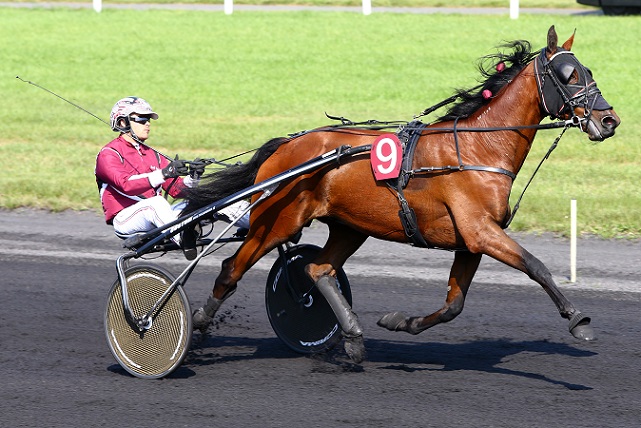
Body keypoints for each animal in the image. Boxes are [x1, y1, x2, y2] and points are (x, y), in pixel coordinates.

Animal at [185, 25, 620, 362]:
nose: (609, 120)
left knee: (318, 270)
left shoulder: (471, 241)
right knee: (232, 269)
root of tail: (287, 146)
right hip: (277, 221)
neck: (478, 148)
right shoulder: (481, 231)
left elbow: (453, 305)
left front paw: (399, 321)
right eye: (568, 74)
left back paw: (354, 337)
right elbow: (536, 266)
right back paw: (198, 327)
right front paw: (578, 320)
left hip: (350, 226)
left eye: (588, 70)